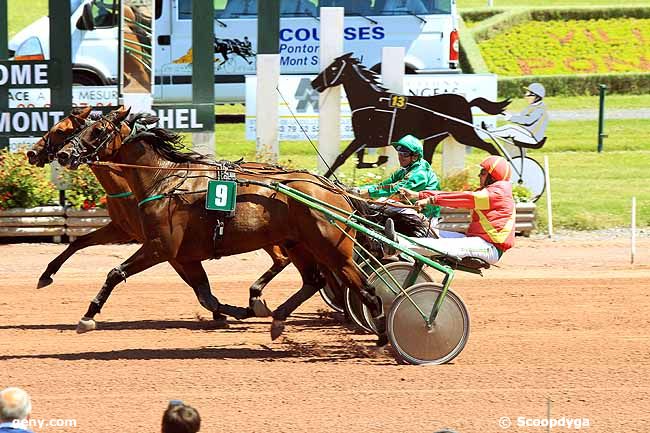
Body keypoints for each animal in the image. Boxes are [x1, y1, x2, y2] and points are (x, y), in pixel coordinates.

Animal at [27, 109, 294, 330]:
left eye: (62, 130)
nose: (33, 152)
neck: (162, 181)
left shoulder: (161, 246)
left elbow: (117, 273)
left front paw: (89, 314)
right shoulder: (138, 236)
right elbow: (79, 242)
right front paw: (47, 274)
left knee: (283, 258)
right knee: (283, 259)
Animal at [55, 108, 384, 344]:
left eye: (97, 130)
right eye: (79, 129)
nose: (64, 154)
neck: (166, 179)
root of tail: (334, 189)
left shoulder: (161, 248)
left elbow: (114, 273)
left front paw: (88, 316)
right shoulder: (184, 255)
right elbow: (205, 294)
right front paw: (238, 311)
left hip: (332, 249)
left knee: (365, 287)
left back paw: (381, 334)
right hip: (299, 244)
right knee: (313, 281)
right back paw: (277, 318)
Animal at [310, 52, 512, 177]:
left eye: (334, 68)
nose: (314, 83)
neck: (371, 102)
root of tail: (467, 102)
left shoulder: (367, 137)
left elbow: (342, 158)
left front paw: (324, 177)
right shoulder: (364, 138)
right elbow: (358, 160)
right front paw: (380, 159)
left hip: (463, 132)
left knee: (490, 147)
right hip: (435, 138)